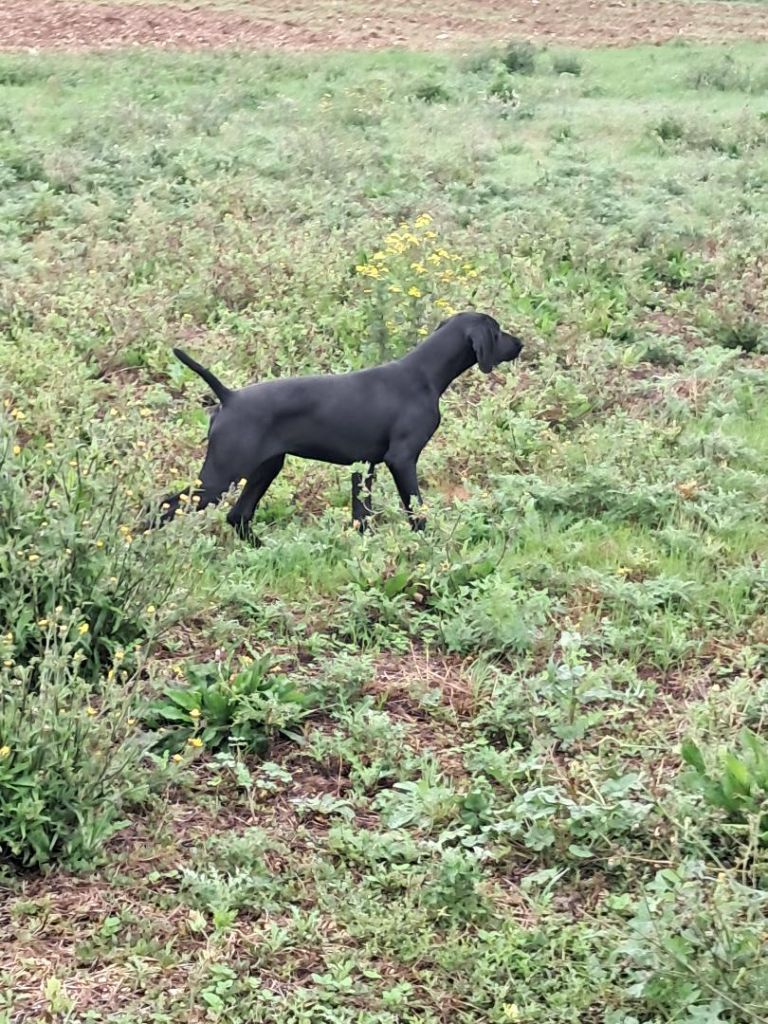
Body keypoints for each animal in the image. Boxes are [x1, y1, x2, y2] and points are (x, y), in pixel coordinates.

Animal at [154, 309, 524, 536]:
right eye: (497, 331)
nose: (520, 343)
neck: (424, 375)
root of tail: (229, 397)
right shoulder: (401, 459)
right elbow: (416, 510)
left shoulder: (366, 467)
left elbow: (362, 517)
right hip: (221, 475)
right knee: (164, 506)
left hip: (264, 468)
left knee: (238, 516)